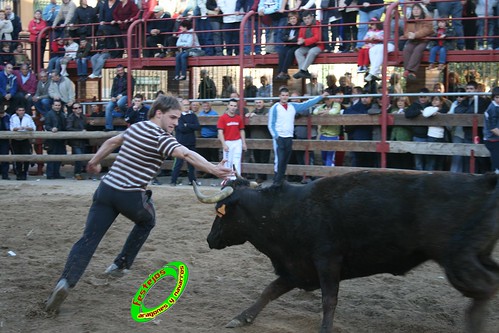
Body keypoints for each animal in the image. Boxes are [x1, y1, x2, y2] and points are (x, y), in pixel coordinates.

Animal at [194, 171, 499, 332]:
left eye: (219, 213)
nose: (209, 239)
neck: (284, 211)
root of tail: (484, 180)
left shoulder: (327, 260)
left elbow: (329, 300)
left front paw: (325, 328)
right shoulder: (297, 268)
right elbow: (269, 290)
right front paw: (242, 317)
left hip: (457, 260)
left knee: (487, 286)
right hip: (476, 256)